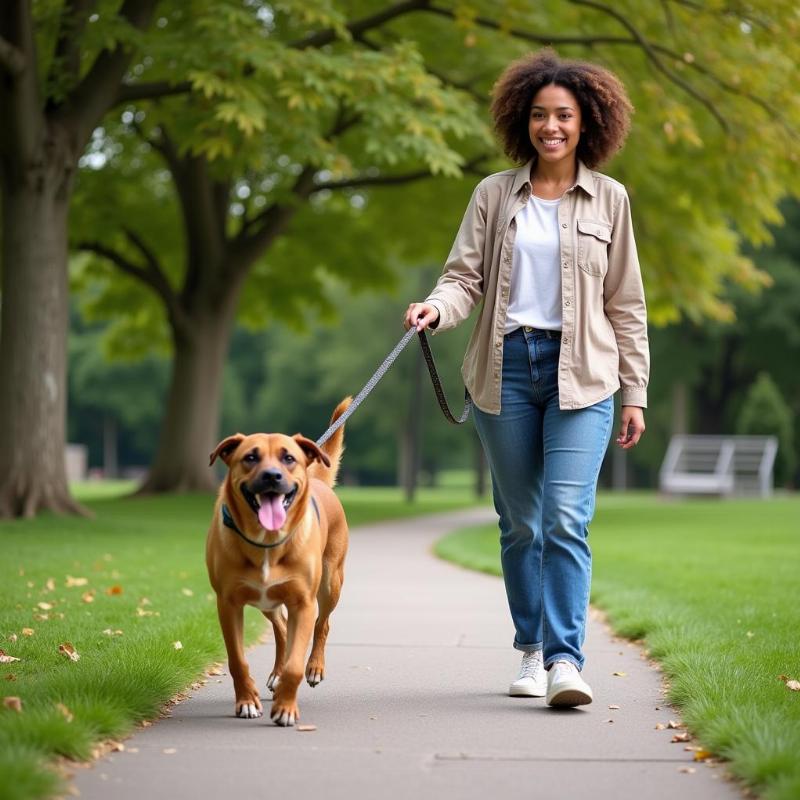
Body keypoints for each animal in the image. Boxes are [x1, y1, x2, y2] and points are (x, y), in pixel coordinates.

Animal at [208, 398, 352, 724]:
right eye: (250, 457)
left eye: (288, 458)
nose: (272, 476)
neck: (266, 541)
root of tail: (317, 480)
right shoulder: (228, 603)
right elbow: (237, 660)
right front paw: (246, 702)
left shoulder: (303, 602)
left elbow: (295, 664)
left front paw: (286, 707)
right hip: (267, 601)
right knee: (282, 627)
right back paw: (276, 673)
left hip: (329, 583)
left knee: (322, 624)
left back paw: (315, 667)